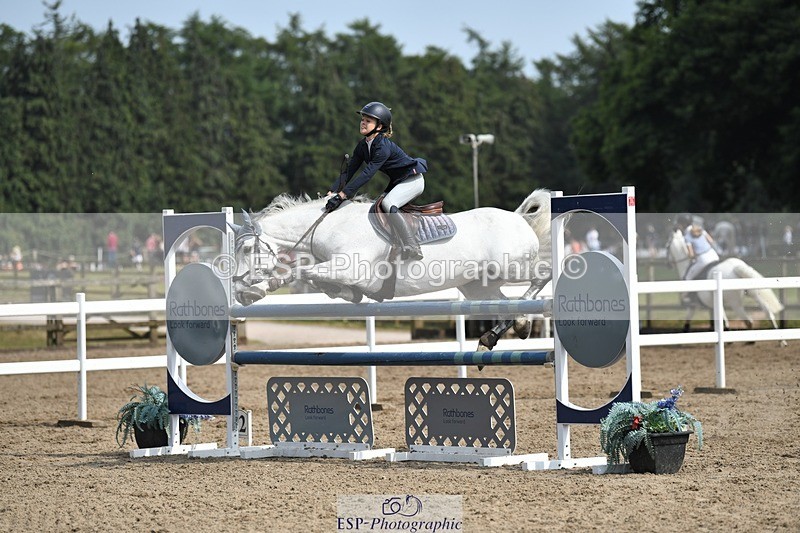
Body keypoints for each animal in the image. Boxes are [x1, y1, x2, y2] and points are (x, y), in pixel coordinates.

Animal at [228, 189, 553, 351]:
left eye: (246, 250)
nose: (238, 289)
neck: (328, 226)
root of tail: (517, 217)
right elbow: (315, 279)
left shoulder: (353, 269)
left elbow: (304, 273)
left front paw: (257, 290)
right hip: (478, 285)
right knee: (507, 305)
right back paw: (500, 334)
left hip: (511, 267)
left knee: (544, 274)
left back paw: (519, 323)